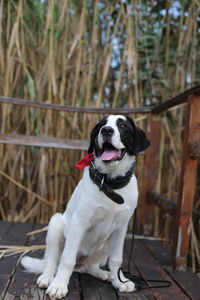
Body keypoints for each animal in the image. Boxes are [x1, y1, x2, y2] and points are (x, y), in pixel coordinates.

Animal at [21, 114, 150, 298]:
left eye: (123, 125)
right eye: (102, 125)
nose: (106, 131)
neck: (110, 183)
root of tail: (80, 265)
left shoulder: (121, 228)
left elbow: (116, 259)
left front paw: (121, 282)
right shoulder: (79, 222)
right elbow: (67, 259)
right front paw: (59, 286)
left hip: (105, 244)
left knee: (89, 267)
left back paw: (105, 274)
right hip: (56, 224)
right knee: (52, 261)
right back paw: (47, 277)